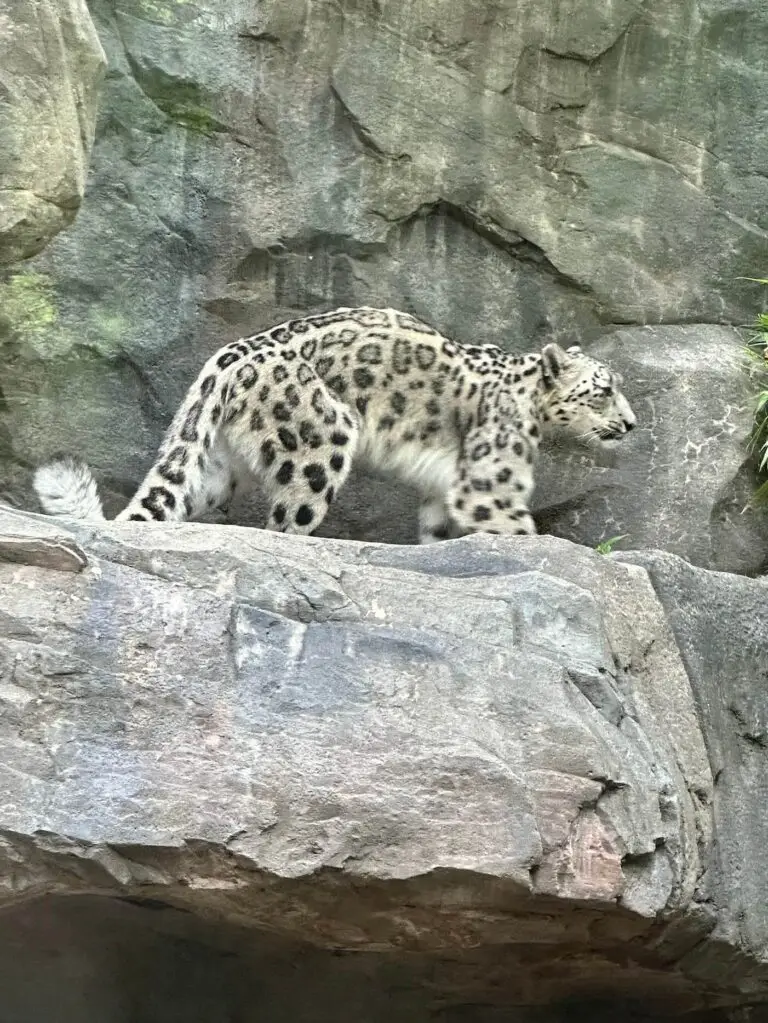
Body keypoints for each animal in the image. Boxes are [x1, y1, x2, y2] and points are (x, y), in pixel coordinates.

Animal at [33, 306, 636, 542]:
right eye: (604, 389)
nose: (631, 424)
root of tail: (225, 359)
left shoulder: (444, 490)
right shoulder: (490, 485)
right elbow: (514, 524)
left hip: (221, 467)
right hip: (320, 442)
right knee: (286, 521)